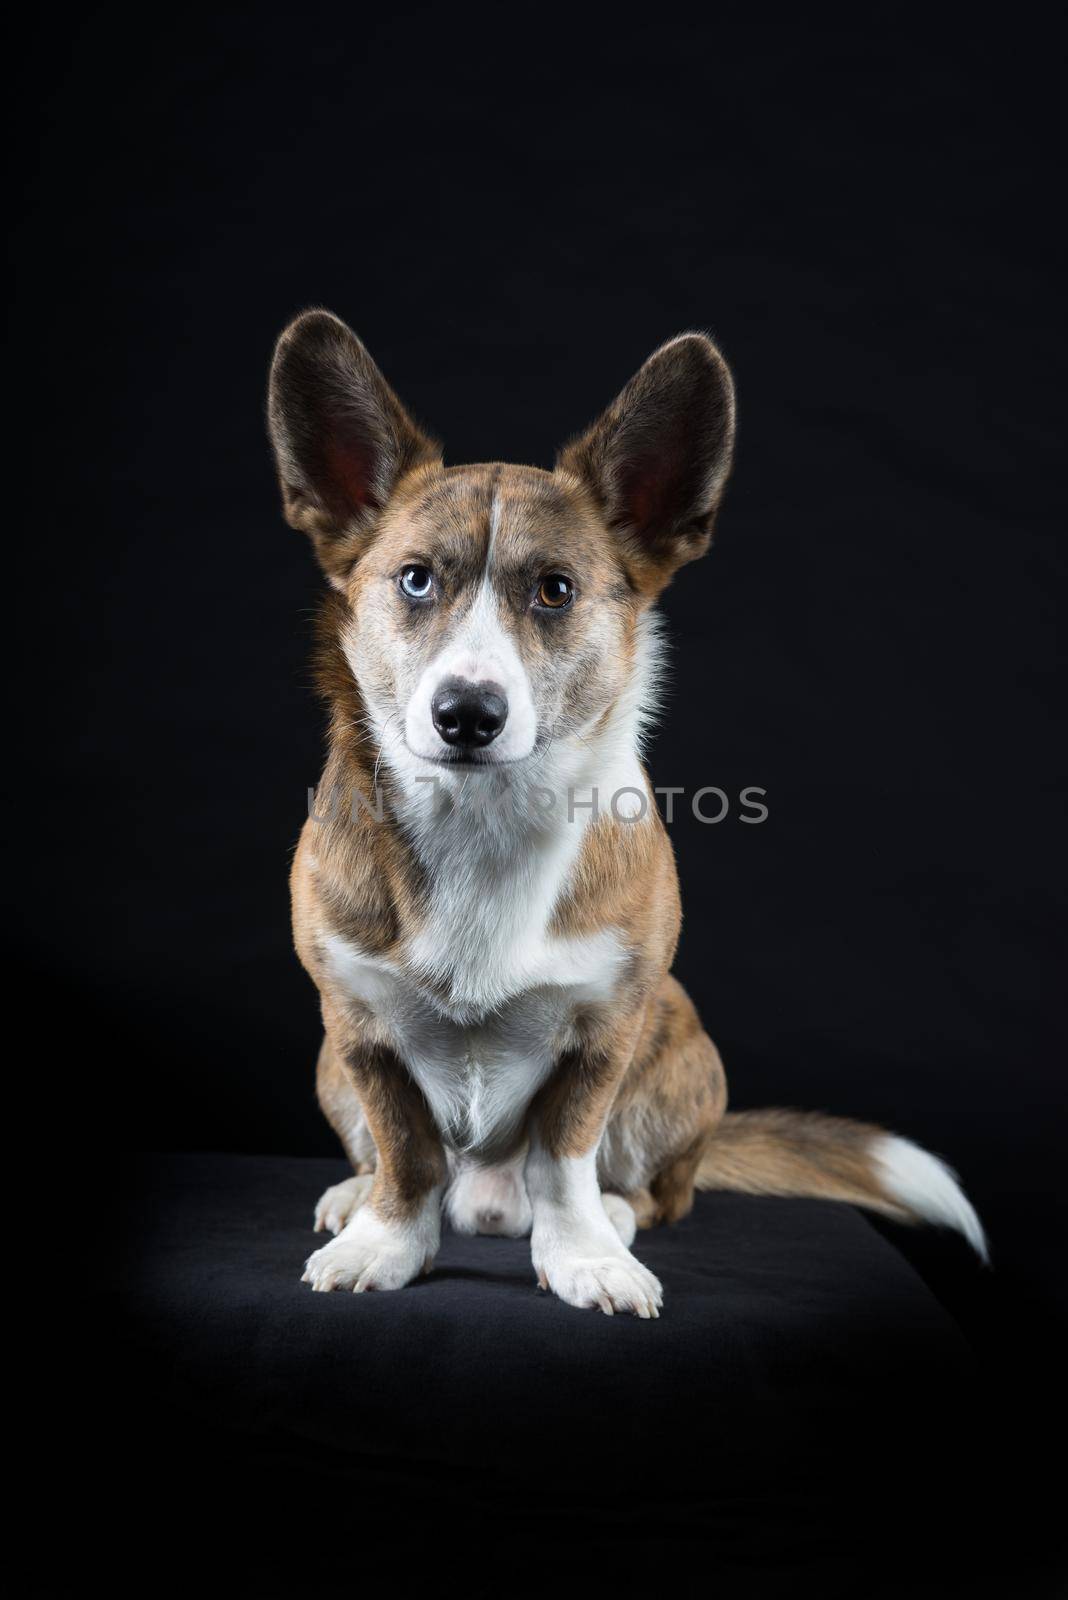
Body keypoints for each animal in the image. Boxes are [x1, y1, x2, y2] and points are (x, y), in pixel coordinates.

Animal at [265, 312, 984, 1312]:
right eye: (414, 581)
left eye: (555, 589)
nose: (467, 714)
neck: (484, 816)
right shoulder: (359, 1029)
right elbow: (408, 1154)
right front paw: (384, 1243)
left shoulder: (606, 1028)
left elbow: (565, 1159)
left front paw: (587, 1256)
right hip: (328, 1064)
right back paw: (354, 1193)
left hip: (684, 1051)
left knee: (652, 1188)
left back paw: (617, 1213)